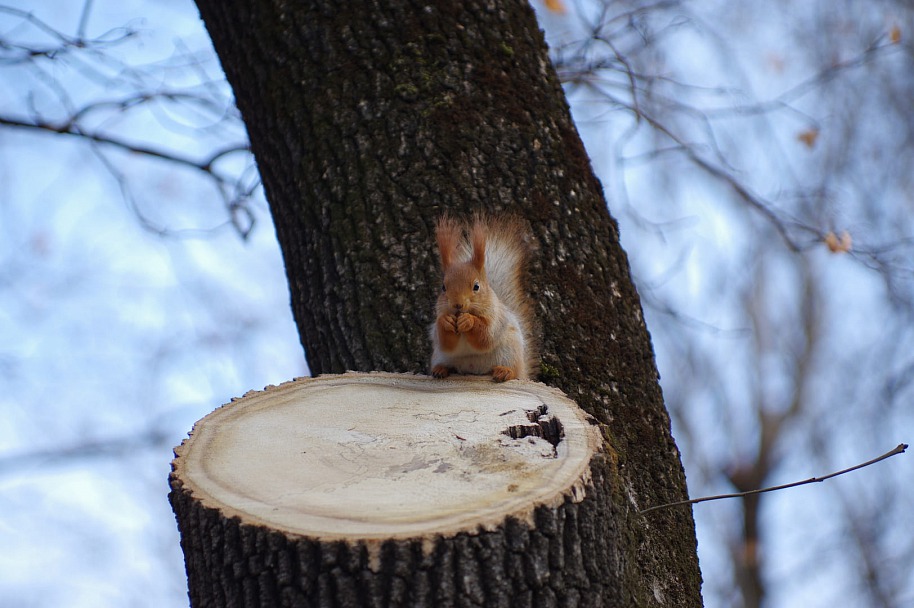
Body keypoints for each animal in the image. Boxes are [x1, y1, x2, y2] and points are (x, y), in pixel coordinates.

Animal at [428, 214, 536, 380]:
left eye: (476, 286)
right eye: (443, 287)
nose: (457, 305)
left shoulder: (496, 320)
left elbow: (485, 335)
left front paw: (469, 320)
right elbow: (446, 342)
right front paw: (446, 321)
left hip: (510, 352)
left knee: (513, 371)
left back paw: (505, 371)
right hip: (439, 355)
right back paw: (440, 370)